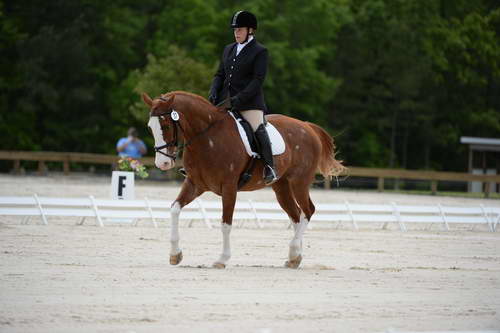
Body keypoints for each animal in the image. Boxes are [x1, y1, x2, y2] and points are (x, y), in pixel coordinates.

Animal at [143, 90, 342, 268]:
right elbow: (174, 209)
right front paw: (175, 255)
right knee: (296, 216)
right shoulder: (195, 184)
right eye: (150, 127)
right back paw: (295, 257)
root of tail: (307, 126)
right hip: (281, 186)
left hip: (299, 182)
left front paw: (222, 260)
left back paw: (294, 251)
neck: (207, 138)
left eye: (166, 126)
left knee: (308, 211)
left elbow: (226, 223)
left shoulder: (229, 187)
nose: (162, 163)